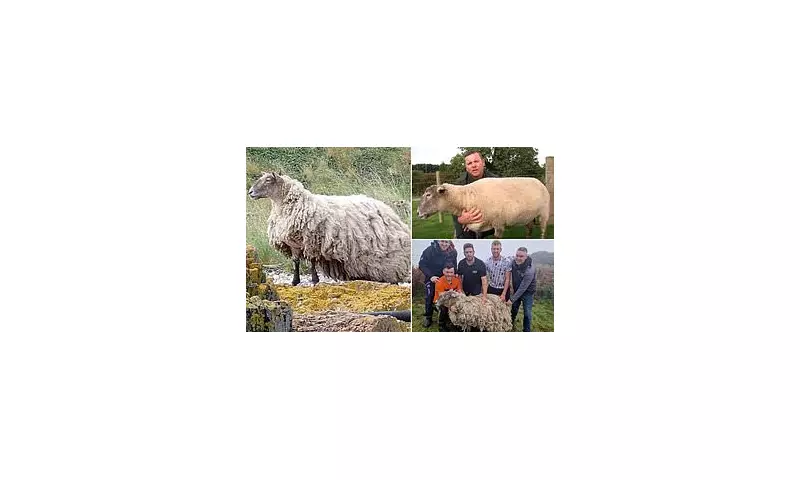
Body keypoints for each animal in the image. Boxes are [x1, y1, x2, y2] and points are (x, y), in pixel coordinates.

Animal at [248, 171, 411, 285]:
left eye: (268, 180)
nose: (250, 192)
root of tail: (391, 213)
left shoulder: (311, 241)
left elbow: (312, 261)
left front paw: (314, 280)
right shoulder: (293, 243)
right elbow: (296, 262)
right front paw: (295, 281)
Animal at [416, 177, 550, 238]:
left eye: (428, 195)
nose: (417, 213)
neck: (465, 198)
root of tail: (539, 181)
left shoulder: (498, 224)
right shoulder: (478, 225)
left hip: (544, 212)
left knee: (543, 229)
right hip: (528, 216)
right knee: (529, 229)